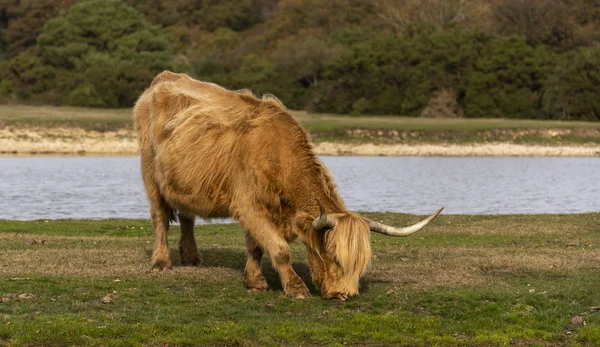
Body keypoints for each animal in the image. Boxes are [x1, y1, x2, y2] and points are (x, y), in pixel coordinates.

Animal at [135, 72, 446, 302]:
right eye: (334, 255)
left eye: (361, 263)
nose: (345, 294)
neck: (279, 156)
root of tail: (164, 78)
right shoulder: (249, 205)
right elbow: (279, 248)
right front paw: (296, 288)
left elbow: (256, 247)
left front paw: (255, 281)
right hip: (150, 172)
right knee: (160, 217)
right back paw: (162, 262)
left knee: (187, 215)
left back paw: (190, 257)